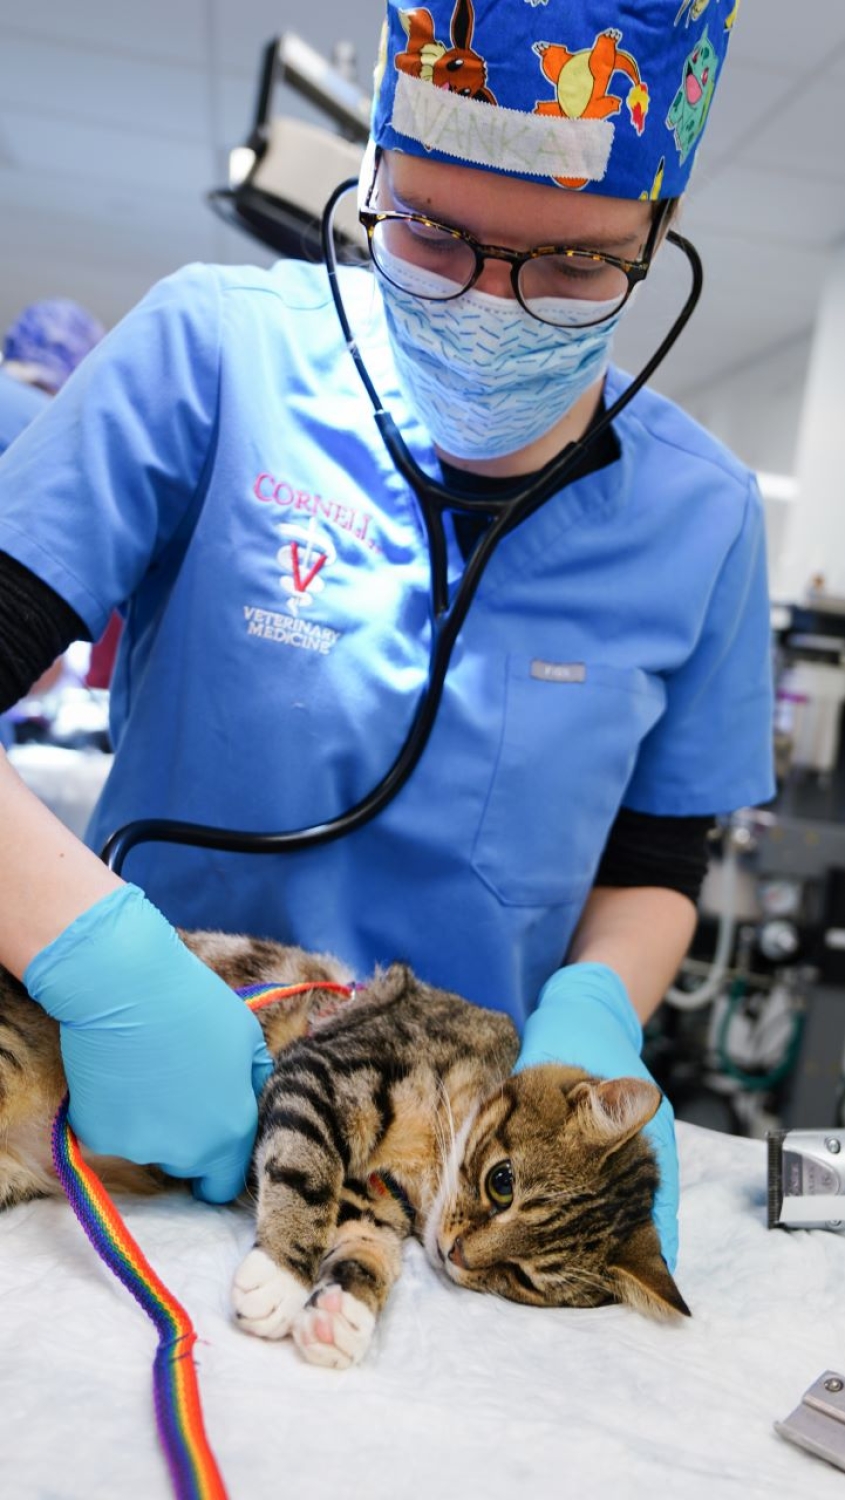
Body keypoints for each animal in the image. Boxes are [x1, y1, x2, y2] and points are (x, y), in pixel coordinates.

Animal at [0, 930, 687, 1368]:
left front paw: (341, 1312)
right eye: (502, 1182)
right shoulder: (327, 1073)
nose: (457, 1255)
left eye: (522, 1277)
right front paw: (281, 1276)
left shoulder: (373, 1199)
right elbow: (309, 1170)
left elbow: (365, 1246)